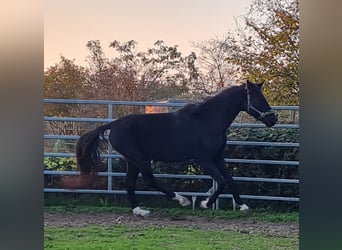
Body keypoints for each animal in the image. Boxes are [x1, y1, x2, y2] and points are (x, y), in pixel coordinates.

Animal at [75, 80, 278, 217]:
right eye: (259, 98)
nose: (273, 119)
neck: (207, 120)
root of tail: (112, 125)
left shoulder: (218, 157)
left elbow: (230, 180)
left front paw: (243, 206)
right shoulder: (203, 159)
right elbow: (221, 182)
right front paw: (205, 203)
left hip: (132, 161)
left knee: (130, 183)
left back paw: (140, 211)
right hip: (140, 159)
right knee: (149, 180)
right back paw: (182, 200)